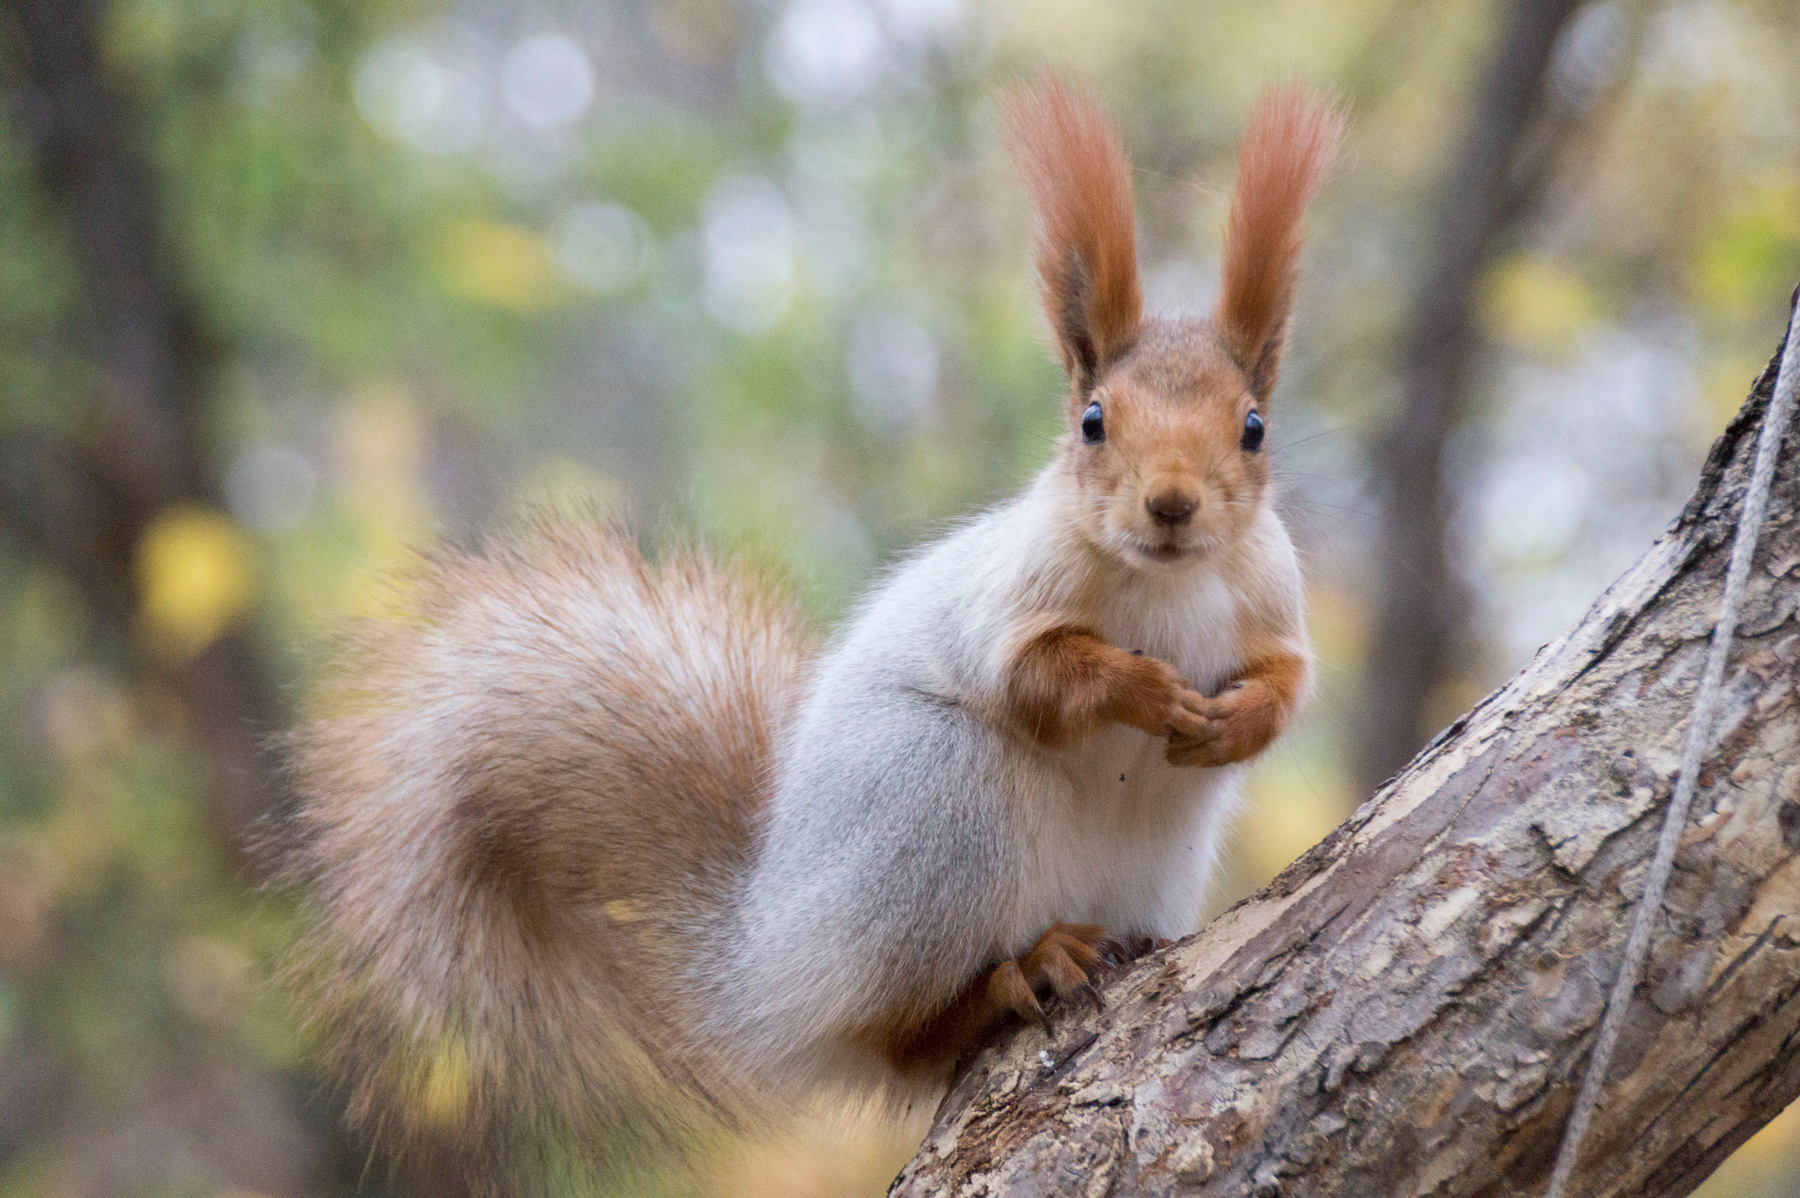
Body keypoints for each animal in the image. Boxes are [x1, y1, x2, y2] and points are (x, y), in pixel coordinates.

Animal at [284, 79, 1342, 1187]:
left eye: (1254, 427)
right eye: (1093, 421)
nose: (1172, 504)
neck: (1168, 584)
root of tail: (763, 959)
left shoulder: (1273, 596)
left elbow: (1288, 682)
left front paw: (1232, 723)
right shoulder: (1012, 600)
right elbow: (1040, 680)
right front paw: (1148, 690)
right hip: (936, 806)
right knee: (901, 1032)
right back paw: (1022, 971)